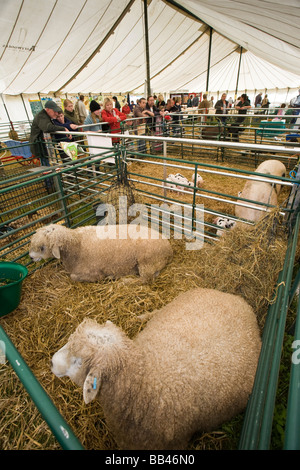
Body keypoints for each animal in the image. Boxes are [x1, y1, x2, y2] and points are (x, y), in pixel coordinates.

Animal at [29, 224, 173, 282]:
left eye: (42, 247)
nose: (30, 258)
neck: (77, 244)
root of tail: (169, 247)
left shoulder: (93, 273)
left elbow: (74, 277)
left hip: (146, 261)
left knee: (145, 280)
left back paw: (123, 281)